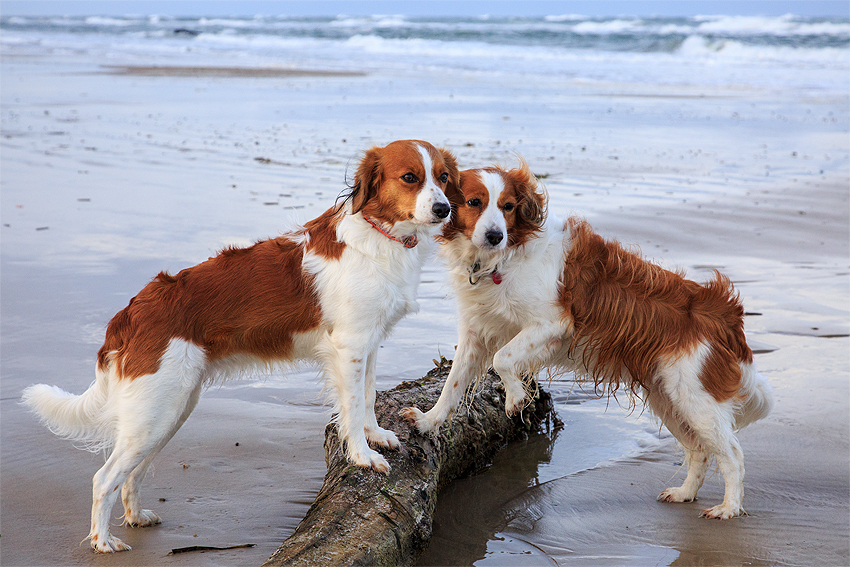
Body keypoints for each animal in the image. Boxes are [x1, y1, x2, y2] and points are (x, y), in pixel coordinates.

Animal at [21, 140, 458, 552]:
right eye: (410, 177)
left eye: (443, 177)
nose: (444, 209)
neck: (380, 236)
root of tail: (131, 311)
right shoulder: (350, 346)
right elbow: (350, 409)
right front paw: (364, 456)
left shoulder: (369, 343)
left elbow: (366, 397)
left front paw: (376, 435)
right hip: (156, 410)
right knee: (105, 477)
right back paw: (103, 541)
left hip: (170, 410)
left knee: (133, 472)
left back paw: (135, 517)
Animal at [400, 162, 772, 520]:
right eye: (474, 202)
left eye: (508, 207)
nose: (495, 235)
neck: (502, 260)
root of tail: (727, 316)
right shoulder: (475, 335)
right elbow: (453, 385)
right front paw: (427, 421)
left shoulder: (552, 324)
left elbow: (502, 358)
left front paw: (516, 399)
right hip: (668, 398)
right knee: (699, 450)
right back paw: (685, 493)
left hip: (696, 398)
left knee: (732, 454)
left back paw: (729, 508)